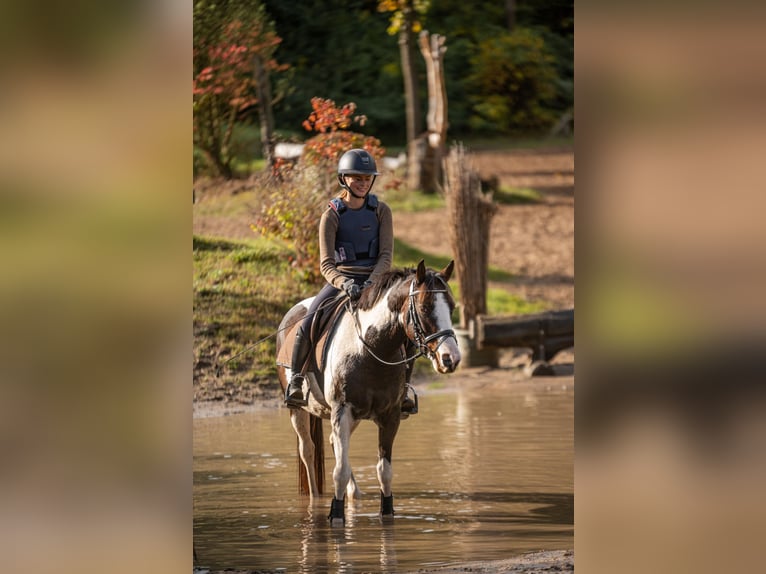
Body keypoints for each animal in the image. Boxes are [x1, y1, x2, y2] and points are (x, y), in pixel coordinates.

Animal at [276, 260, 462, 528]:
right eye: (425, 307)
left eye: (452, 307)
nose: (451, 358)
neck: (371, 347)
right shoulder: (342, 412)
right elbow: (340, 471)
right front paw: (336, 515)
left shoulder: (389, 416)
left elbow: (384, 471)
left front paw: (387, 514)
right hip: (298, 411)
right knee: (308, 450)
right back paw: (315, 501)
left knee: (331, 442)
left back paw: (354, 494)